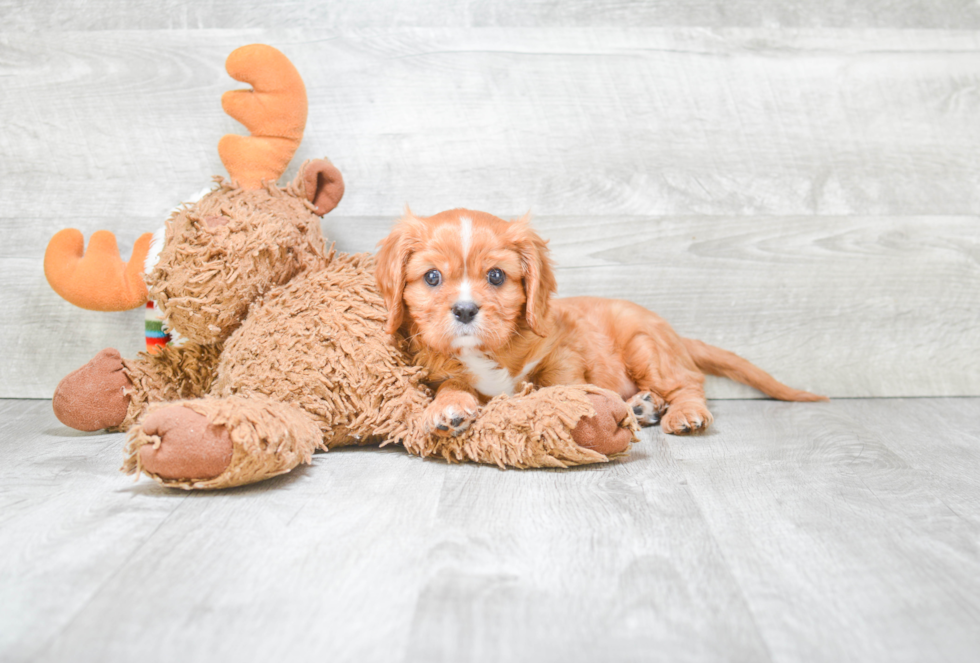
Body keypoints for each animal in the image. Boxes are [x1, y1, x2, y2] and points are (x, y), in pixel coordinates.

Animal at [376, 208, 828, 436]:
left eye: (497, 276)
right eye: (432, 278)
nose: (466, 311)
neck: (489, 349)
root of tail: (675, 334)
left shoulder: (561, 350)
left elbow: (555, 383)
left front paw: (556, 405)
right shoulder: (441, 368)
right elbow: (452, 385)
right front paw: (448, 408)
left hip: (646, 346)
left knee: (689, 383)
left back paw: (681, 413)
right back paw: (644, 406)